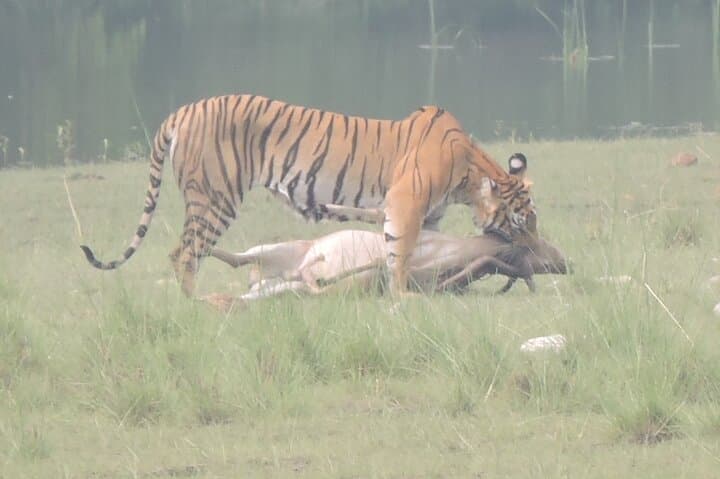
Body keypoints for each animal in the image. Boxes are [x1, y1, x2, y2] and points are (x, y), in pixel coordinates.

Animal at [80, 94, 537, 297]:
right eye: (524, 220)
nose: (538, 250)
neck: (470, 171)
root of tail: (183, 111)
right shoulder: (404, 206)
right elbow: (402, 254)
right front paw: (403, 295)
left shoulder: (428, 215)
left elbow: (420, 251)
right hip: (215, 199)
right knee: (185, 254)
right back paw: (197, 304)